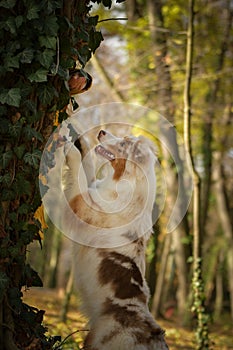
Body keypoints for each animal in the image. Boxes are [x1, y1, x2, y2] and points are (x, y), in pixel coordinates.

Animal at [62, 129, 168, 350]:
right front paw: (82, 142)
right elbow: (87, 167)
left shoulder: (83, 203)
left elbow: (79, 173)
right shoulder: (92, 189)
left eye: (124, 143)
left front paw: (71, 150)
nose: (101, 131)